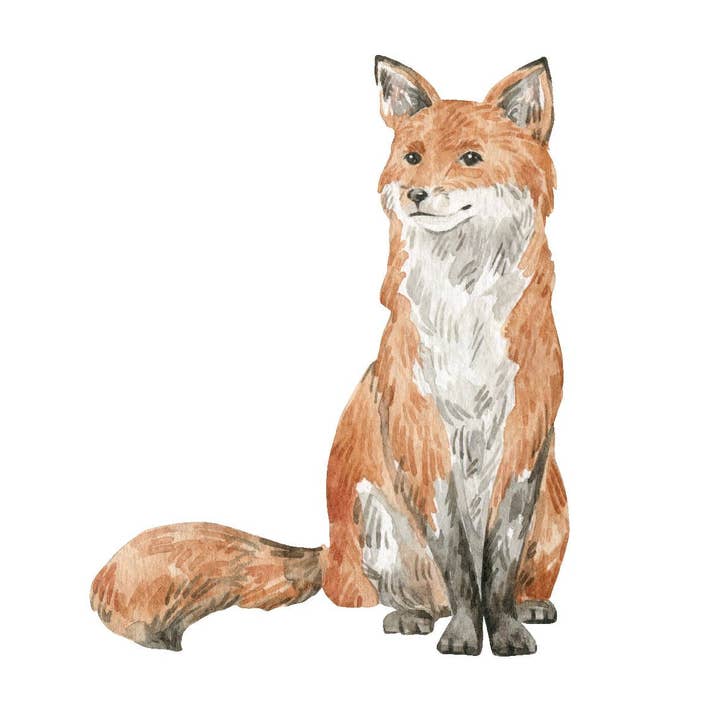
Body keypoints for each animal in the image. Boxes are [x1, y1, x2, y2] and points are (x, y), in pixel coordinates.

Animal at [91, 56, 568, 656]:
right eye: (413, 157)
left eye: (471, 158)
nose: (415, 193)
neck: (464, 309)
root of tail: (328, 554)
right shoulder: (420, 436)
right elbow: (459, 561)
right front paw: (464, 634)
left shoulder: (525, 434)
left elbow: (498, 560)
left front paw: (503, 630)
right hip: (372, 517)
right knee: (394, 595)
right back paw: (413, 615)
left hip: (553, 513)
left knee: (516, 577)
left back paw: (529, 604)